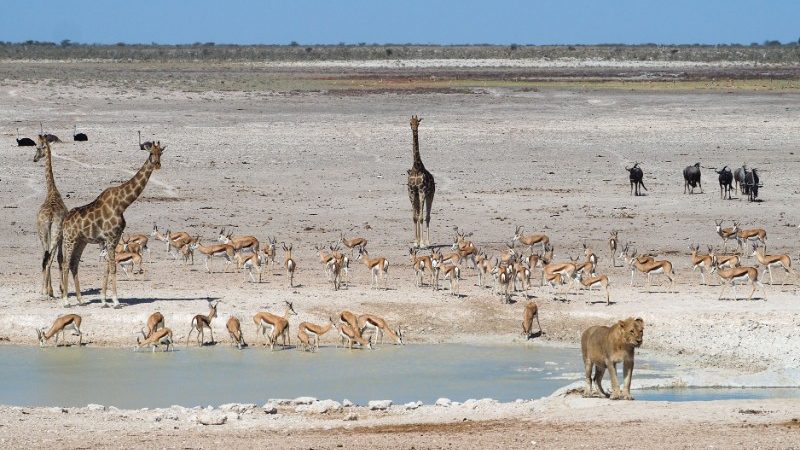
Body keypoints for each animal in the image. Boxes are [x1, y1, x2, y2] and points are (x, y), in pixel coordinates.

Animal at [60, 142, 165, 307]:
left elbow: (107, 268)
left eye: (160, 152)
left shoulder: (114, 239)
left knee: (74, 264)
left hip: (81, 241)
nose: (157, 164)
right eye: (150, 153)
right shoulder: (110, 238)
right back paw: (65, 301)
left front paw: (104, 300)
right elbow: (113, 267)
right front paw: (115, 301)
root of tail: (65, 221)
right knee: (65, 264)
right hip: (69, 239)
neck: (122, 204)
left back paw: (80, 300)